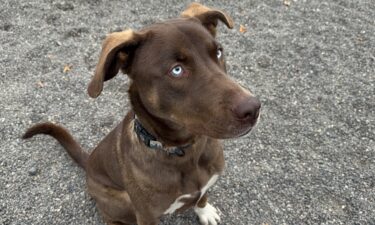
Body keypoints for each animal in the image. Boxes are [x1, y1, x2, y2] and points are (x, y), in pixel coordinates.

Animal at [22, 3, 262, 225]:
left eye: (219, 52)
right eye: (176, 70)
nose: (253, 108)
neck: (184, 151)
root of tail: (89, 161)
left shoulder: (205, 183)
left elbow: (202, 195)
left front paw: (204, 210)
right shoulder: (146, 214)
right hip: (120, 201)